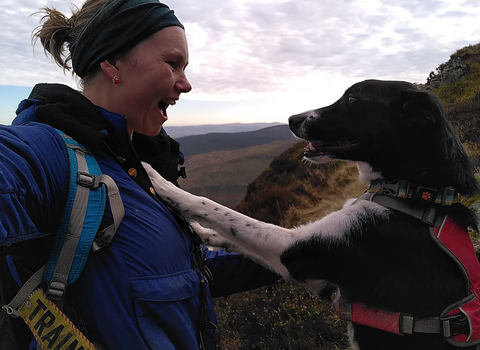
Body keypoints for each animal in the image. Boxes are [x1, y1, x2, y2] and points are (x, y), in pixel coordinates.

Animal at [144, 80, 480, 348]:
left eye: (352, 100)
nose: (292, 119)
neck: (411, 192)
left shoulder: (297, 251)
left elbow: (223, 213)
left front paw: (159, 181)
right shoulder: (326, 283)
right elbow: (233, 234)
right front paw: (202, 234)